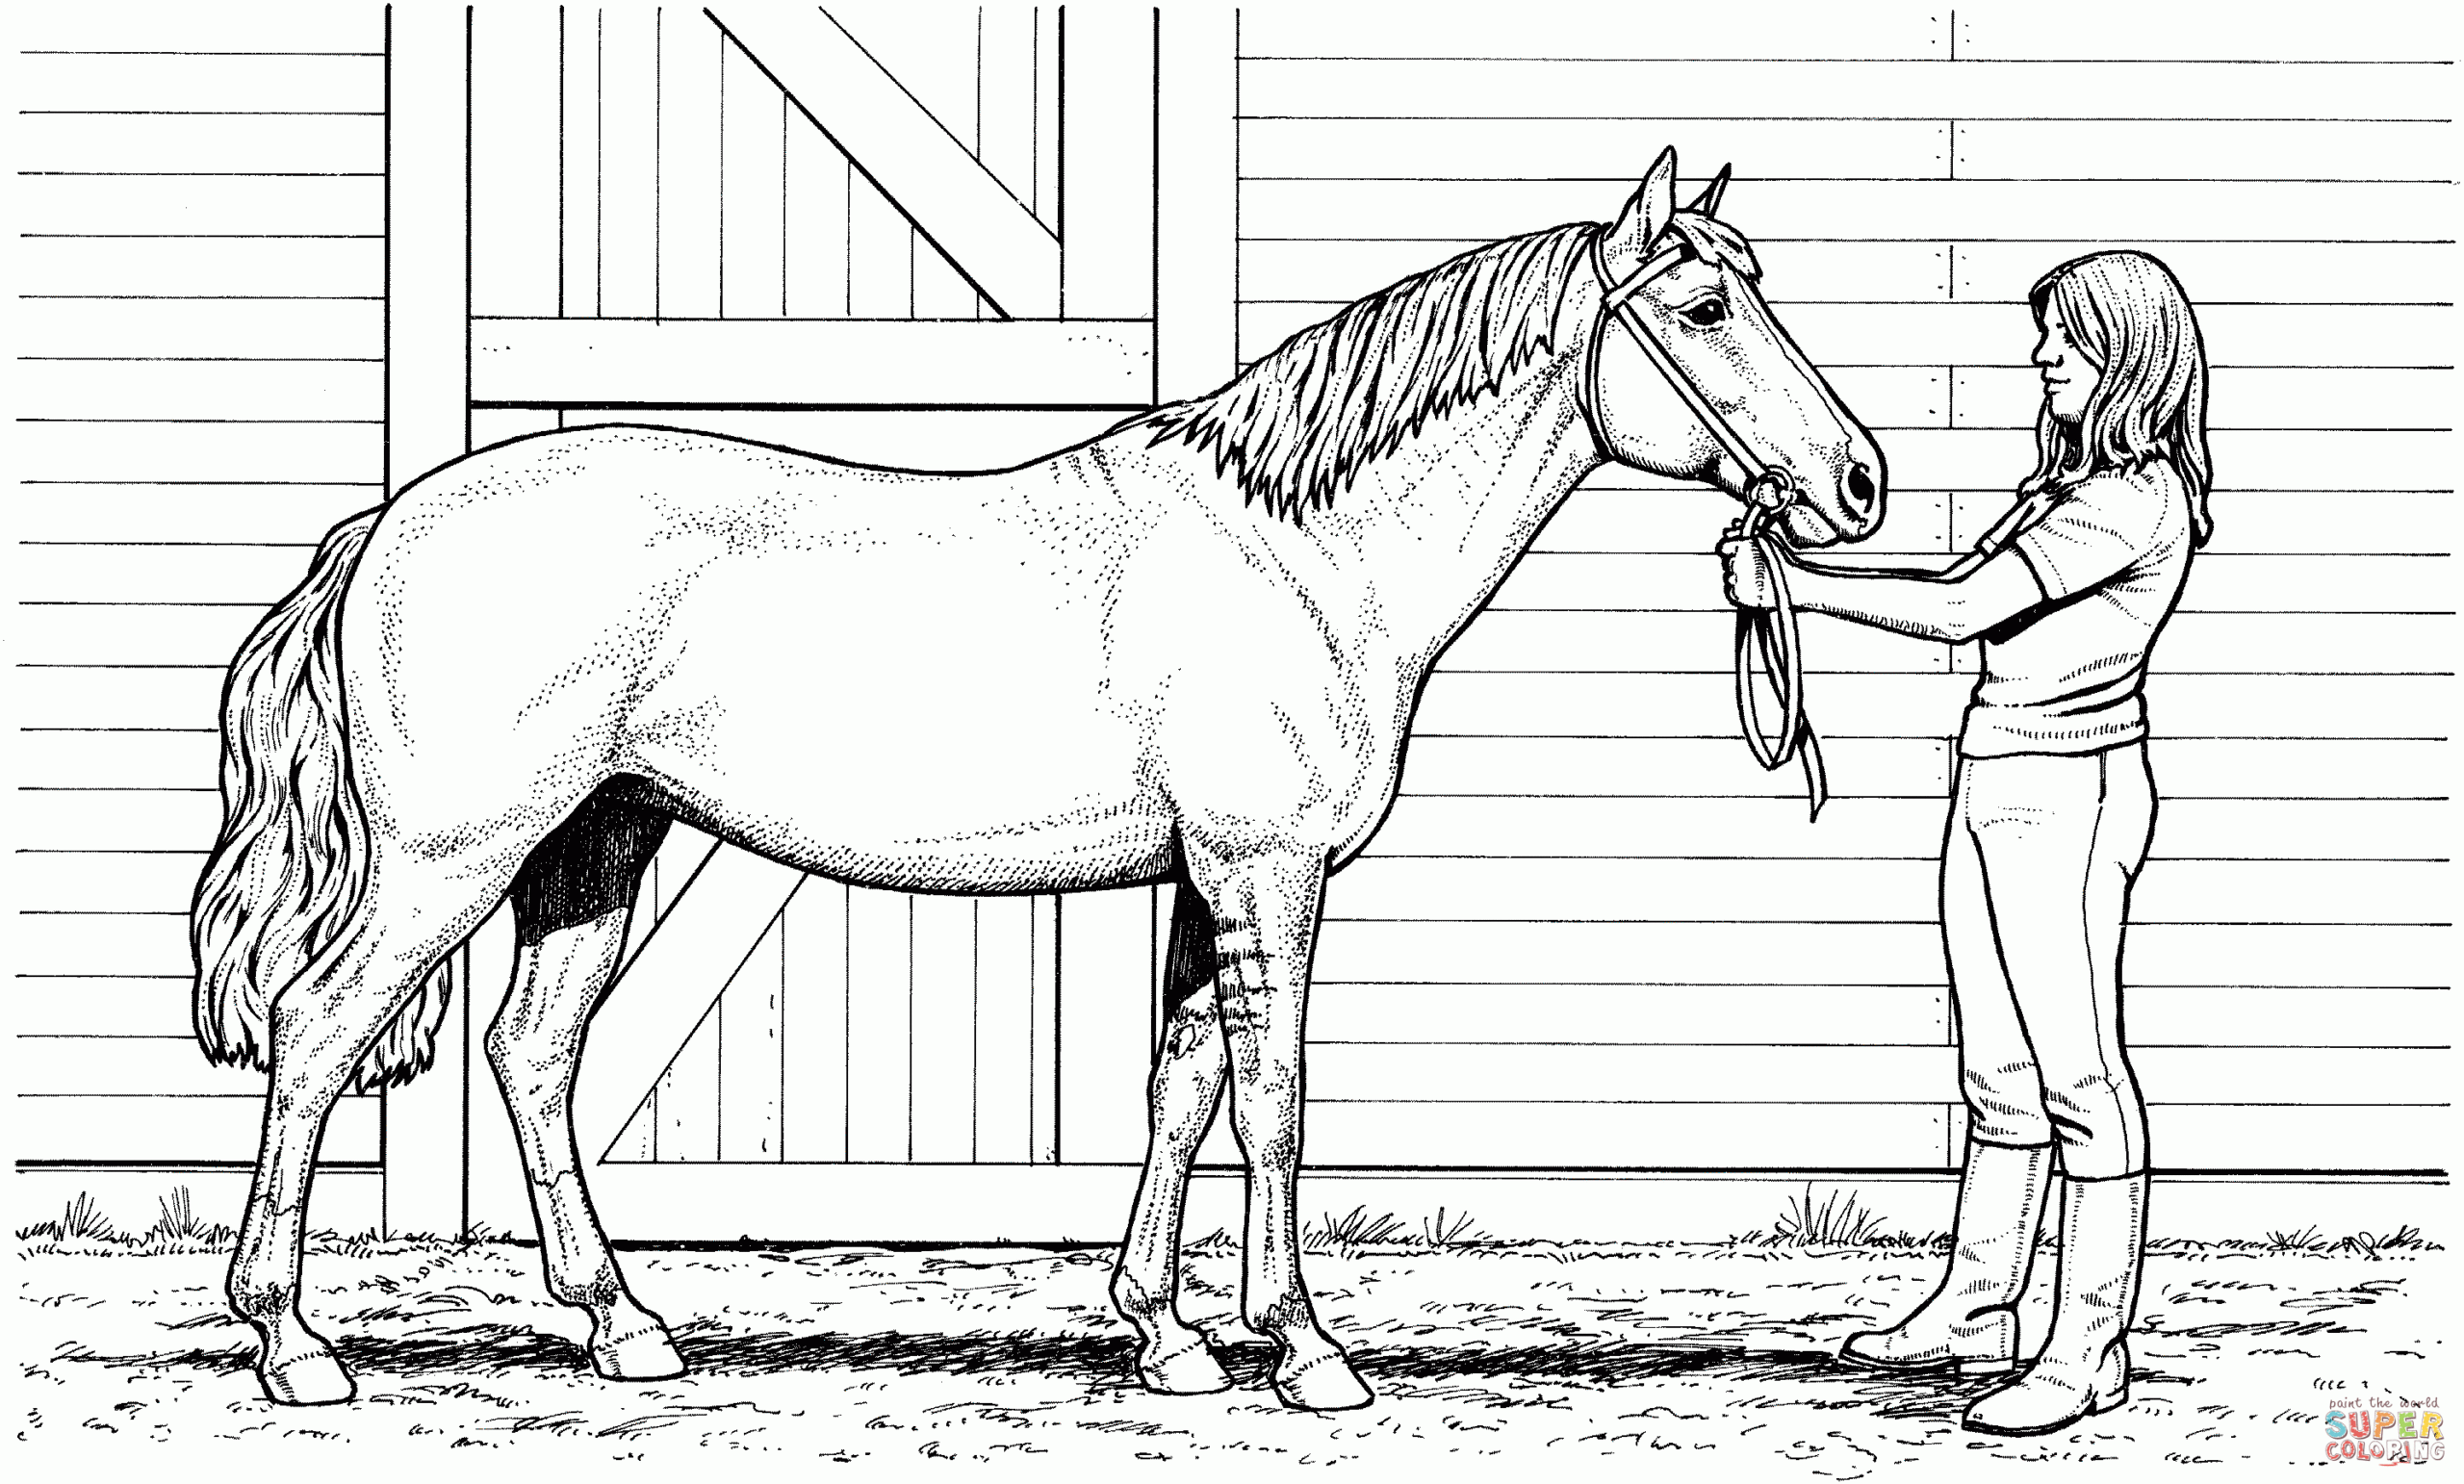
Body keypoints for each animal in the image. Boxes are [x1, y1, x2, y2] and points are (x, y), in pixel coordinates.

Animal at [191, 146, 1884, 1413]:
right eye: (1705, 305)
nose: (1858, 481)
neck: (1303, 551)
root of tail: (389, 524)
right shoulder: (1266, 868)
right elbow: (1275, 1097)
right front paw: (1309, 1350)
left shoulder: (1204, 879)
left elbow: (1183, 1086)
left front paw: (1170, 1334)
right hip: (450, 856)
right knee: (321, 1029)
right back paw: (294, 1342)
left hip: (594, 846)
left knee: (533, 1054)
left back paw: (625, 1327)